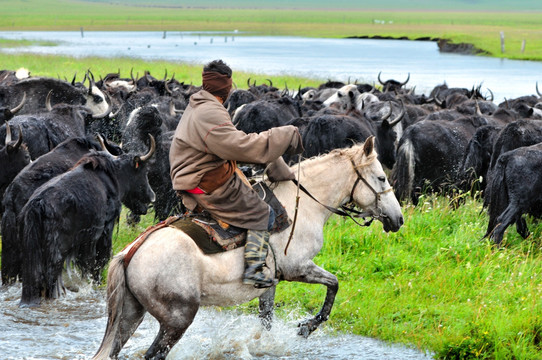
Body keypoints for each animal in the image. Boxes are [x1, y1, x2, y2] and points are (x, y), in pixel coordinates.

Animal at [92, 136, 404, 358]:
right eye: (381, 178)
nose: (398, 219)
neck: (304, 203)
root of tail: (130, 253)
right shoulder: (298, 268)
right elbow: (334, 284)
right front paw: (307, 327)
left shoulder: (271, 282)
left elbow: (267, 319)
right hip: (177, 319)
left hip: (130, 315)